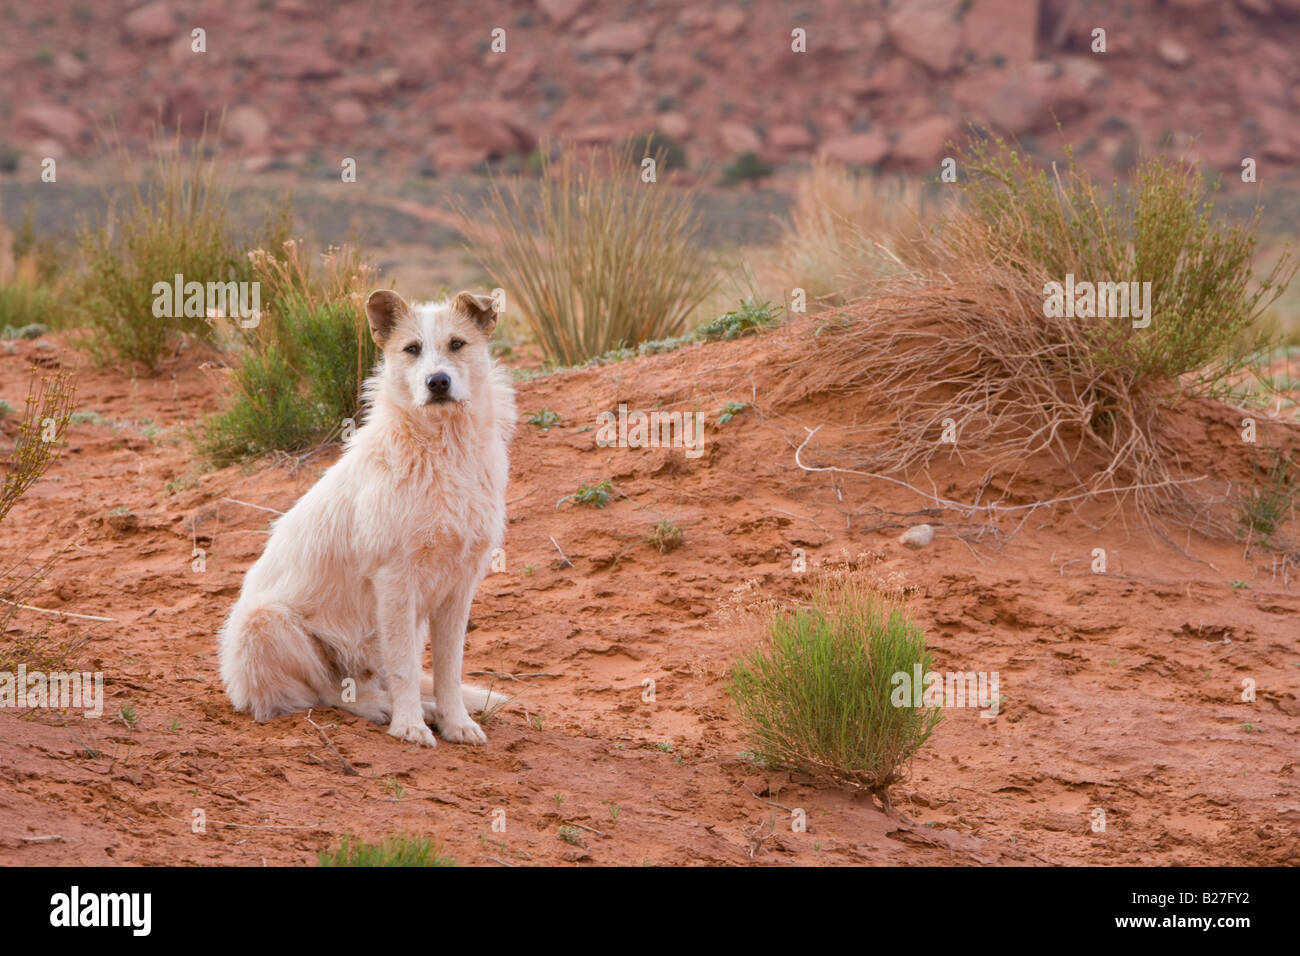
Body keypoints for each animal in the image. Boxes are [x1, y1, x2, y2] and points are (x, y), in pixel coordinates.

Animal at [218, 290, 512, 749]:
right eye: (411, 349)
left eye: (457, 345)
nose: (437, 382)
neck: (443, 447)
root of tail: (236, 686)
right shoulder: (395, 582)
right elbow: (407, 668)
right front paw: (409, 727)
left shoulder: (459, 586)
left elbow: (448, 670)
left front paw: (456, 723)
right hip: (264, 621)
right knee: (326, 691)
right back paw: (382, 709)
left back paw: (423, 708)